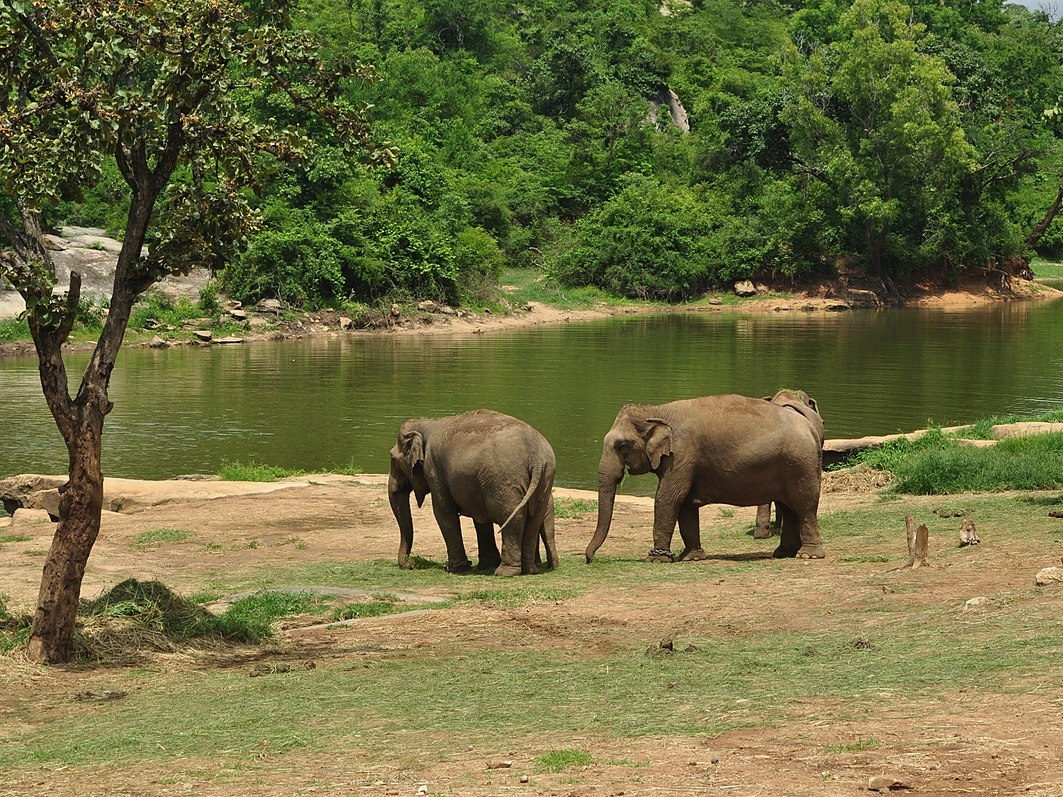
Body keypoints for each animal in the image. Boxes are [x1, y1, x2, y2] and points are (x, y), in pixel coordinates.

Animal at [386, 412, 561, 573]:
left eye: (392, 458)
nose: (412, 564)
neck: (426, 422)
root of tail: (536, 458)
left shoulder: (433, 469)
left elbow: (443, 512)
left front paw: (455, 568)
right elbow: (480, 517)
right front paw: (485, 565)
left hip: (504, 481)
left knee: (513, 517)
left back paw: (505, 572)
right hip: (544, 479)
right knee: (534, 519)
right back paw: (529, 570)